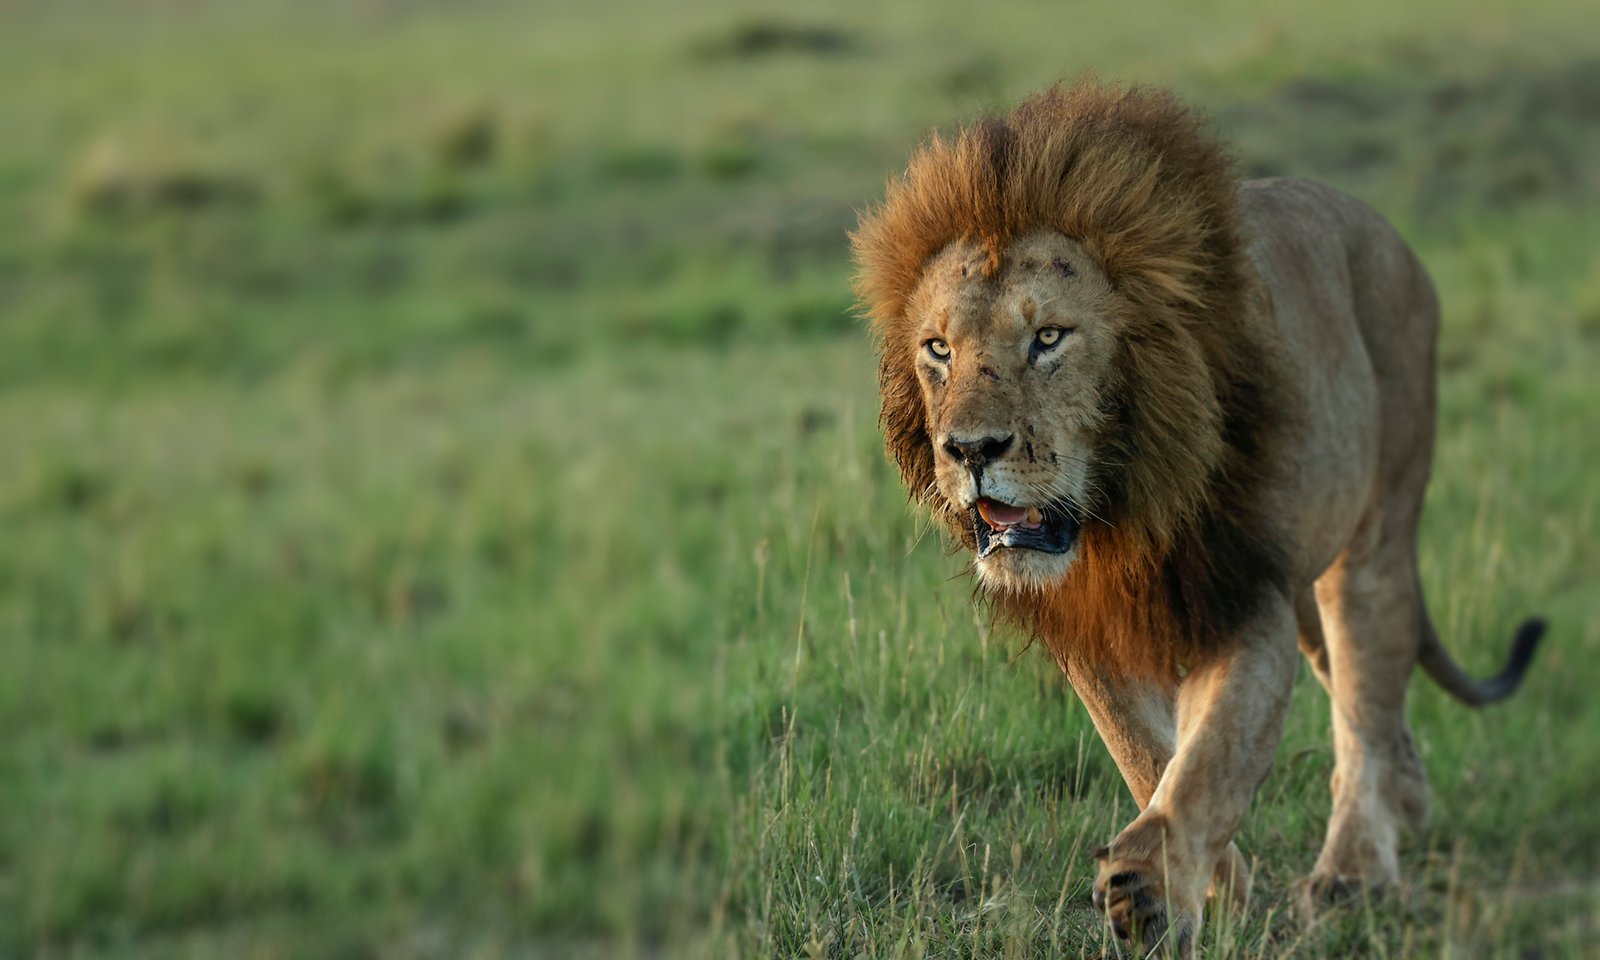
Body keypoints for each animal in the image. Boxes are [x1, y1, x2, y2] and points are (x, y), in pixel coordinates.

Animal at [851, 79, 1544, 951]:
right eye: (938, 349)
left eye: (1050, 337)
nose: (971, 449)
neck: (1120, 517)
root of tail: (1392, 236)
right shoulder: (1097, 625)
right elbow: (1146, 755)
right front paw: (1216, 888)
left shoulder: (1244, 597)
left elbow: (1210, 760)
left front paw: (1149, 894)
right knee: (1369, 700)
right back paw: (1409, 802)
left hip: (1371, 542)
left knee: (1363, 697)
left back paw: (1354, 873)